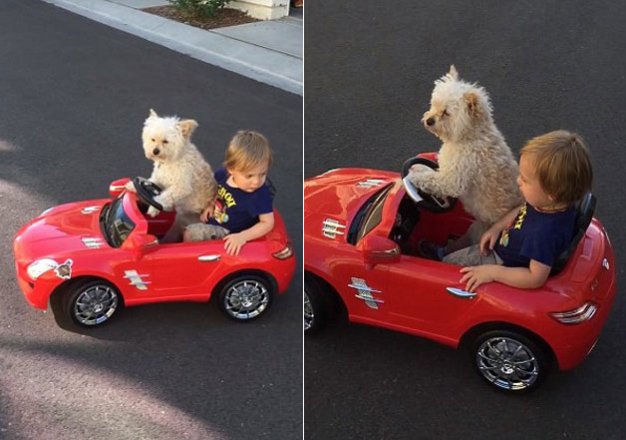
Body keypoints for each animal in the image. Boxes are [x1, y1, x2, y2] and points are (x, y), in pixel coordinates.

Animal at [408, 66, 520, 230]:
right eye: (434, 104)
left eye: (446, 113)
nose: (429, 121)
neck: (469, 136)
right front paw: (420, 168)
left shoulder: (453, 179)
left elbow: (434, 179)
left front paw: (416, 176)